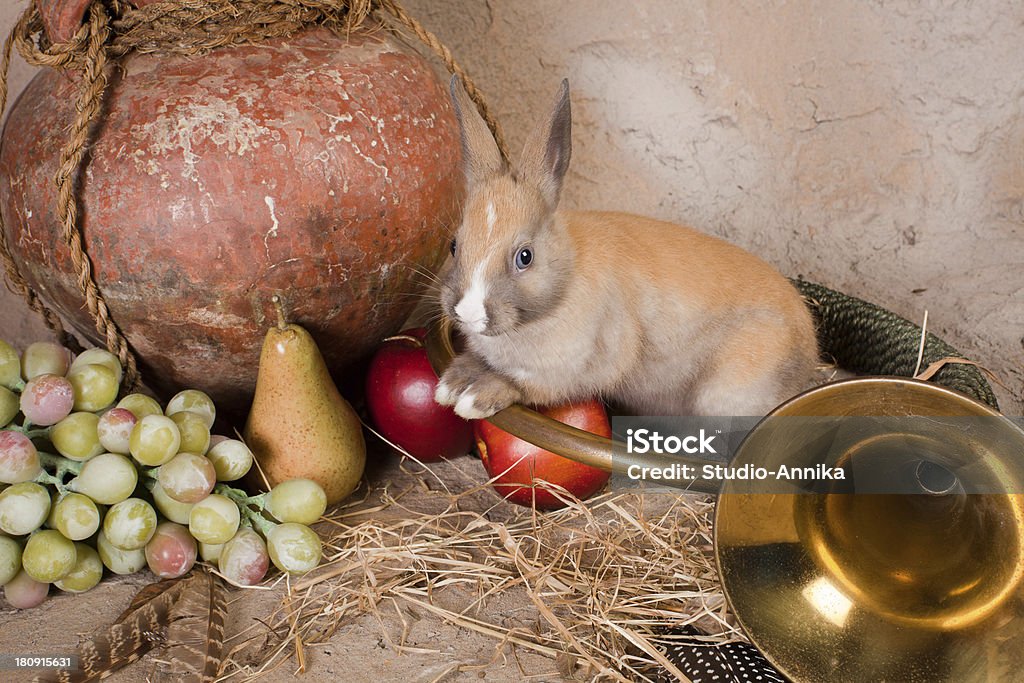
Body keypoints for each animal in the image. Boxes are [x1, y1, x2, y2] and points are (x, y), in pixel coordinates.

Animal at [436, 78, 819, 421]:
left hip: (726, 394)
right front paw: (450, 385)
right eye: (455, 245)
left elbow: (523, 385)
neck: (563, 286)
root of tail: (810, 349)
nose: (467, 311)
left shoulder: (572, 372)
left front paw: (475, 399)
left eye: (524, 257)